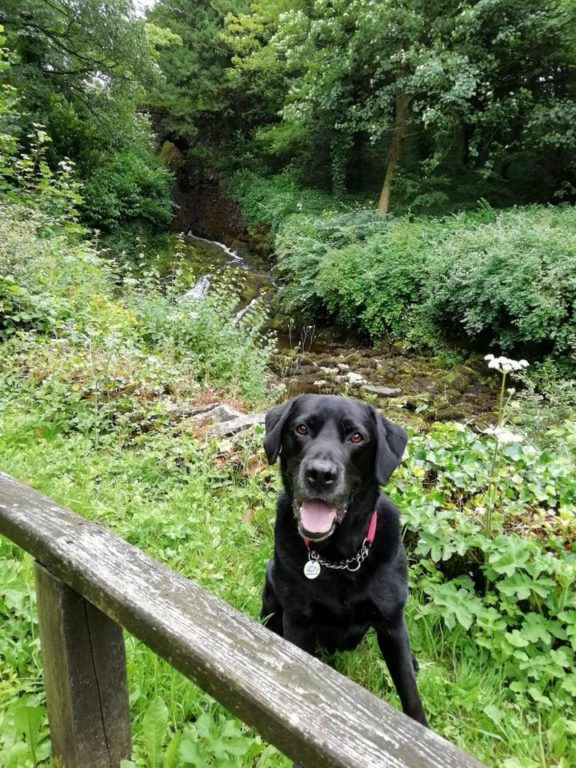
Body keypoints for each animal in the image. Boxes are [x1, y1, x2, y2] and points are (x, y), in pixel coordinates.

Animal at [260, 396, 428, 728]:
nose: (320, 474)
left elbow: (409, 691)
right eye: (301, 429)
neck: (339, 557)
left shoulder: (391, 624)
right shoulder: (298, 621)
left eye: (356, 437)